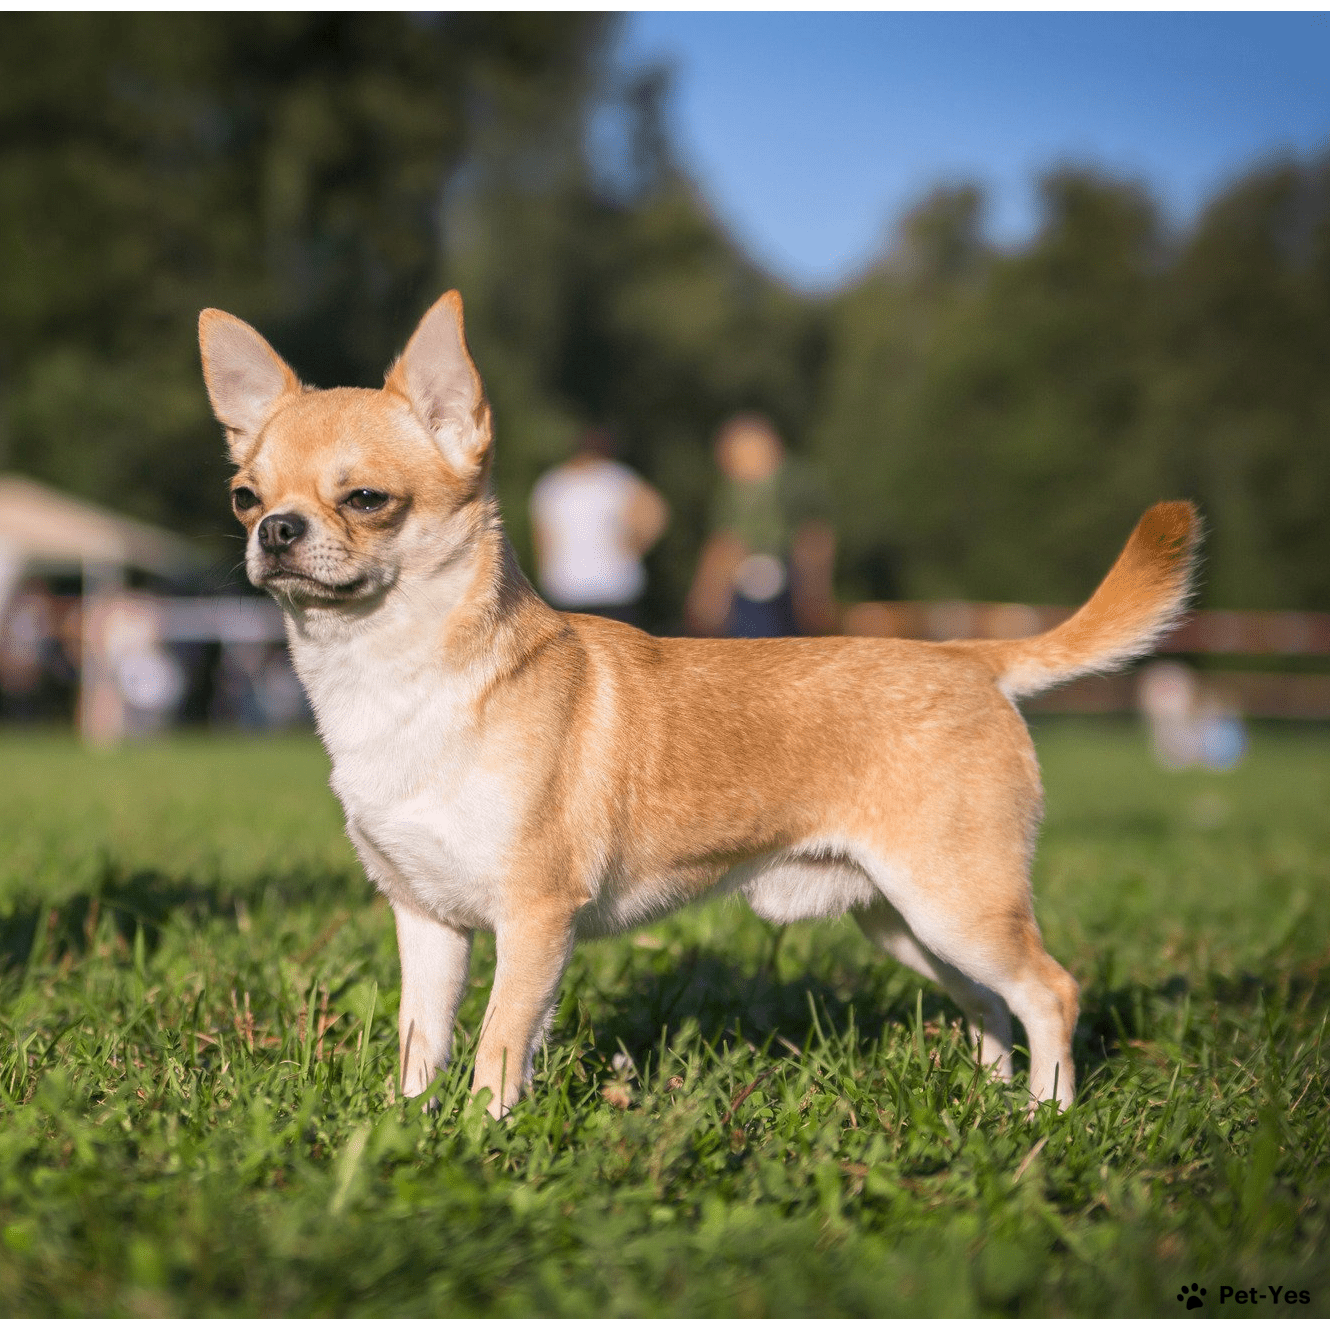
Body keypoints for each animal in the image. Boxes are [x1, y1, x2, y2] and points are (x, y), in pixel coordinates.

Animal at [199, 296, 1207, 1117]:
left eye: (367, 499)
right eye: (244, 496)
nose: (274, 530)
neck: (398, 678)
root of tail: (970, 656)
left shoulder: (536, 919)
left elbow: (499, 1047)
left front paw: (484, 1136)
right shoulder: (429, 921)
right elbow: (425, 1042)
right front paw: (406, 1127)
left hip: (957, 904)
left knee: (1050, 991)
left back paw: (1047, 1118)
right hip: (907, 921)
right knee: (993, 1003)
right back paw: (994, 1099)